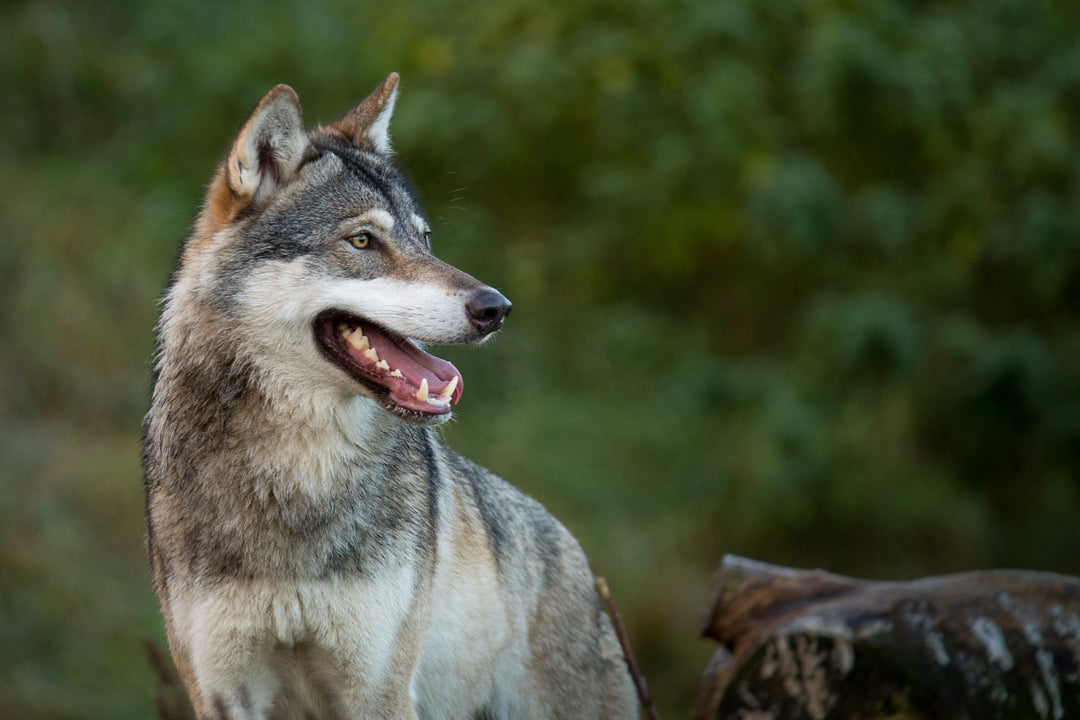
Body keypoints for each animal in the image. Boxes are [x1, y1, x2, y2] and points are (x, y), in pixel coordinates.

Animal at [141, 74, 630, 720]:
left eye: (425, 240)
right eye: (363, 241)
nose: (496, 307)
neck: (297, 475)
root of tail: (581, 564)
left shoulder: (378, 690)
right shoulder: (224, 693)